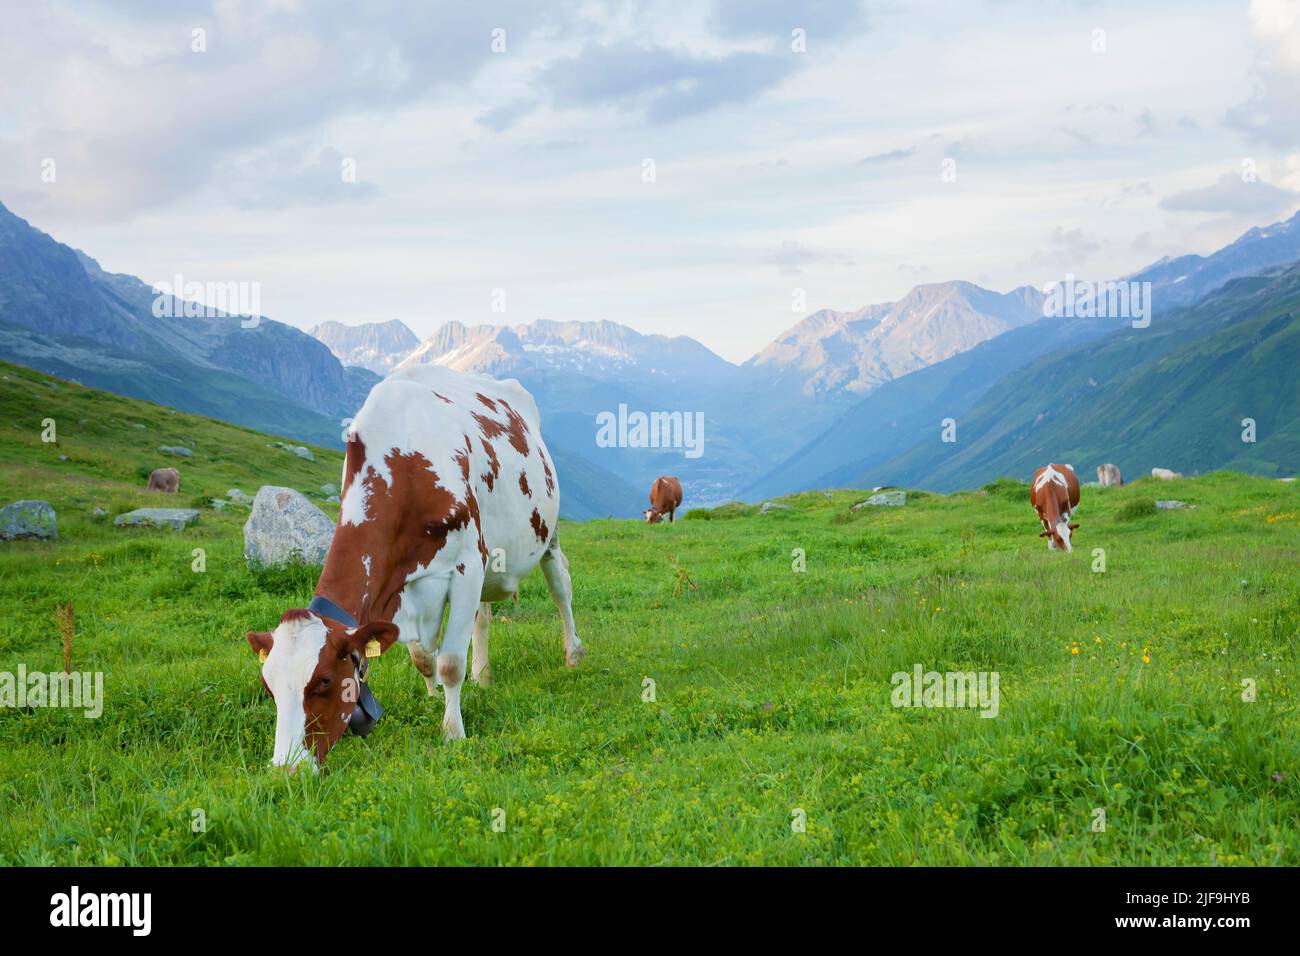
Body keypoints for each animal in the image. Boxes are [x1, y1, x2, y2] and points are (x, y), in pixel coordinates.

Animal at [244, 365, 583, 773]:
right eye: (269, 687)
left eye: (323, 680)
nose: (286, 769)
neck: (405, 464)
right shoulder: (409, 584)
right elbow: (424, 658)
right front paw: (434, 700)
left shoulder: (467, 565)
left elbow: (450, 661)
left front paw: (453, 732)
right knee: (483, 617)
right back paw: (483, 676)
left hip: (548, 534)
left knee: (561, 588)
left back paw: (572, 655)